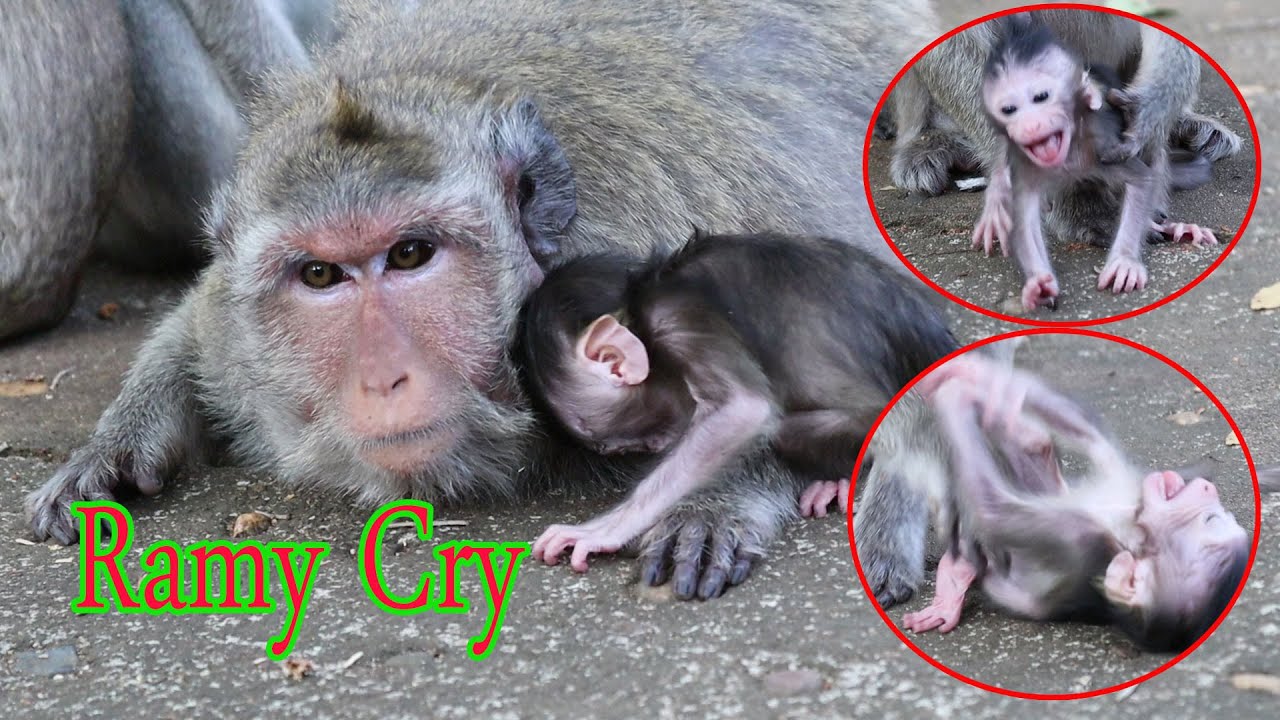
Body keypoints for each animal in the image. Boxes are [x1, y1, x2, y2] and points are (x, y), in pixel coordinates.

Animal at [518, 230, 958, 573]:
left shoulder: (678, 319)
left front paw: (604, 530)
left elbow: (741, 410)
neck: (639, 295)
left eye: (619, 444)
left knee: (785, 431)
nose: (653, 447)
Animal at [857, 350, 1250, 653]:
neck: (1126, 523)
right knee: (1036, 445)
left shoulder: (1084, 542)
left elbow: (994, 511)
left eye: (1211, 521)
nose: (1207, 489)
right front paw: (969, 375)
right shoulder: (1126, 485)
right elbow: (1092, 437)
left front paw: (954, 394)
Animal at [975, 17, 1218, 310]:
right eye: (1009, 109)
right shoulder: (1026, 165)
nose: (1031, 126)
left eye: (1041, 97)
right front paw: (1038, 282)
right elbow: (1022, 214)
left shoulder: (1103, 148)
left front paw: (1124, 260)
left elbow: (1141, 179)